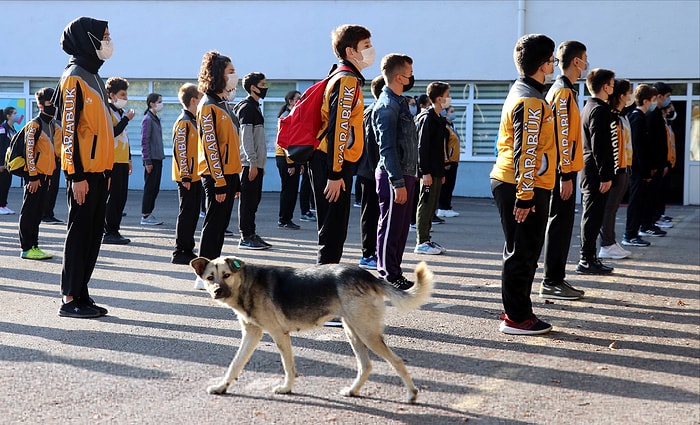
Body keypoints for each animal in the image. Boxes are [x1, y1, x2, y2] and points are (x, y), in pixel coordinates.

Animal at [190, 253, 432, 402]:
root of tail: (366, 275)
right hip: (353, 332)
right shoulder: (252, 334)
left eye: (226, 275)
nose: (217, 291)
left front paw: (286, 388)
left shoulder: (278, 334)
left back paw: (412, 394)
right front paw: (222, 387)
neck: (247, 285)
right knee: (366, 365)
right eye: (210, 277)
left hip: (366, 332)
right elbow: (235, 364)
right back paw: (353, 391)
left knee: (396, 361)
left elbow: (288, 366)